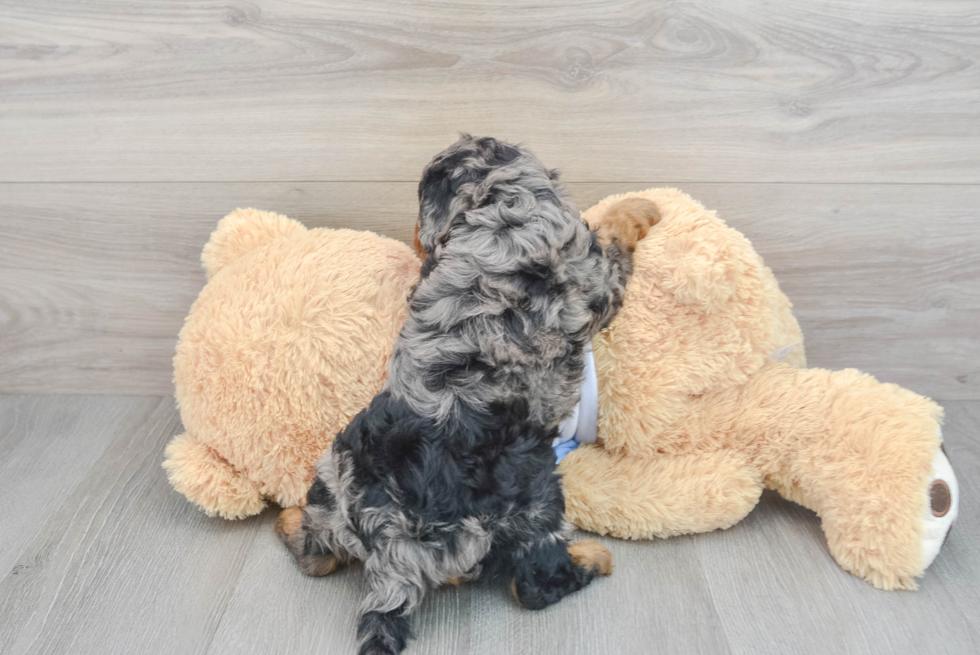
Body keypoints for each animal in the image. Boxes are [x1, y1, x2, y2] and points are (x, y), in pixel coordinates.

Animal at [276, 135, 660, 655]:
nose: (418, 239)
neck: (502, 207)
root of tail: (397, 541)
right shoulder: (595, 276)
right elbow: (614, 237)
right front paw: (639, 206)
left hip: (334, 475)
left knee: (315, 556)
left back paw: (288, 521)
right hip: (533, 504)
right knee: (534, 583)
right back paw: (591, 557)